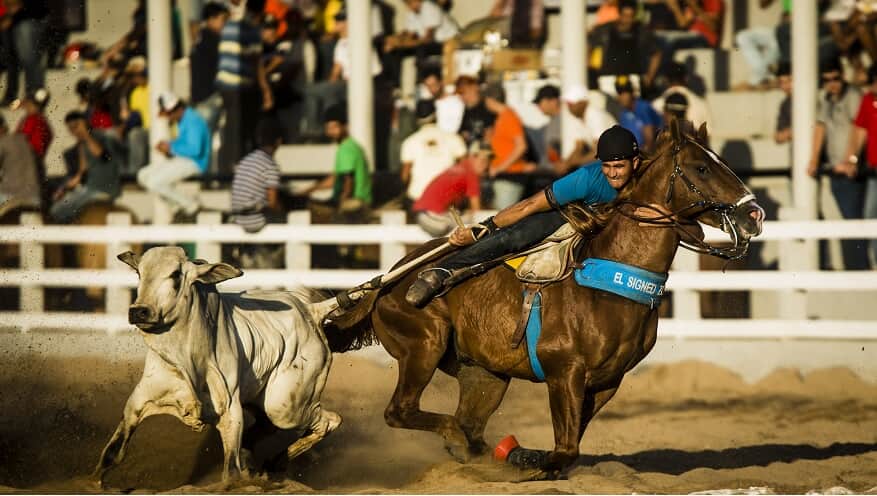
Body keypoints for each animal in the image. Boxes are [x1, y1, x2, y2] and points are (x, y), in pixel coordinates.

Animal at [96, 246, 342, 482]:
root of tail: (311, 311)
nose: (139, 311)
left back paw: (275, 463)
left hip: (285, 406)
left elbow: (230, 471)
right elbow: (112, 453)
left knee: (329, 421)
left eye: (175, 274)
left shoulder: (230, 411)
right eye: (139, 273)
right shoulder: (139, 400)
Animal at [332, 120, 764, 476]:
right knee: (402, 411)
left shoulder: (607, 381)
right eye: (702, 168)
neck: (608, 280)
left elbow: (570, 449)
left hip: (485, 373)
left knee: (469, 423)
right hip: (423, 345)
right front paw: (530, 458)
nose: (755, 215)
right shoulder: (564, 372)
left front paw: (524, 458)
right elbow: (564, 449)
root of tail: (387, 281)